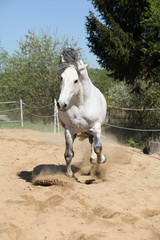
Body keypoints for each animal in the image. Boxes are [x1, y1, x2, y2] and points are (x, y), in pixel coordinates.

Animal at [57, 47, 107, 177]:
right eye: (61, 78)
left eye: (76, 80)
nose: (61, 104)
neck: (80, 105)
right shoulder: (69, 130)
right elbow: (68, 154)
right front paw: (69, 175)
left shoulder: (96, 126)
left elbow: (98, 147)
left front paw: (101, 159)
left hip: (91, 130)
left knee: (93, 144)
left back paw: (94, 159)